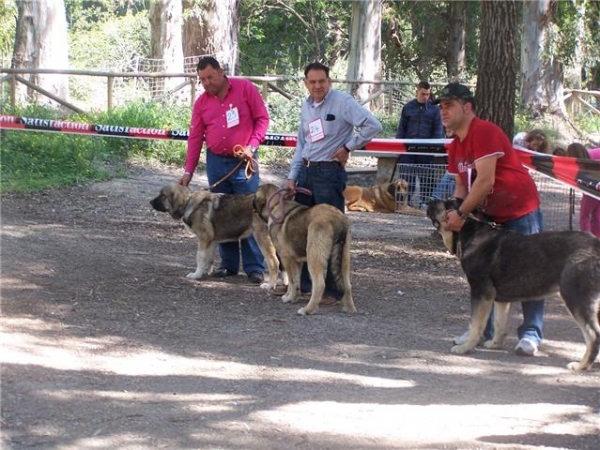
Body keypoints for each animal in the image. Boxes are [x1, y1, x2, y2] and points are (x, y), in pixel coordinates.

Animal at [149, 185, 282, 290]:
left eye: (163, 195)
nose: (150, 202)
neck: (188, 202)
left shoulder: (203, 238)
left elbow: (200, 257)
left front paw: (196, 274)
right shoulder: (211, 241)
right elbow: (209, 258)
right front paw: (205, 271)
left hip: (262, 239)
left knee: (274, 262)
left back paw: (270, 285)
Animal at [253, 181, 356, 314]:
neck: (276, 204)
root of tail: (337, 220)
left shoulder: (286, 258)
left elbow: (292, 280)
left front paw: (290, 297)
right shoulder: (297, 261)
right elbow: (296, 281)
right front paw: (291, 297)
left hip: (314, 256)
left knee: (319, 285)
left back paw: (308, 309)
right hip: (344, 257)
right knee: (347, 284)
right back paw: (349, 308)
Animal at [426, 199, 600, 370]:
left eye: (448, 204)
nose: (430, 200)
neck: (471, 230)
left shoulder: (481, 292)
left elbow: (475, 324)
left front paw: (465, 347)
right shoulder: (500, 300)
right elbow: (499, 324)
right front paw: (494, 345)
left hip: (575, 297)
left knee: (593, 334)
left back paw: (581, 365)